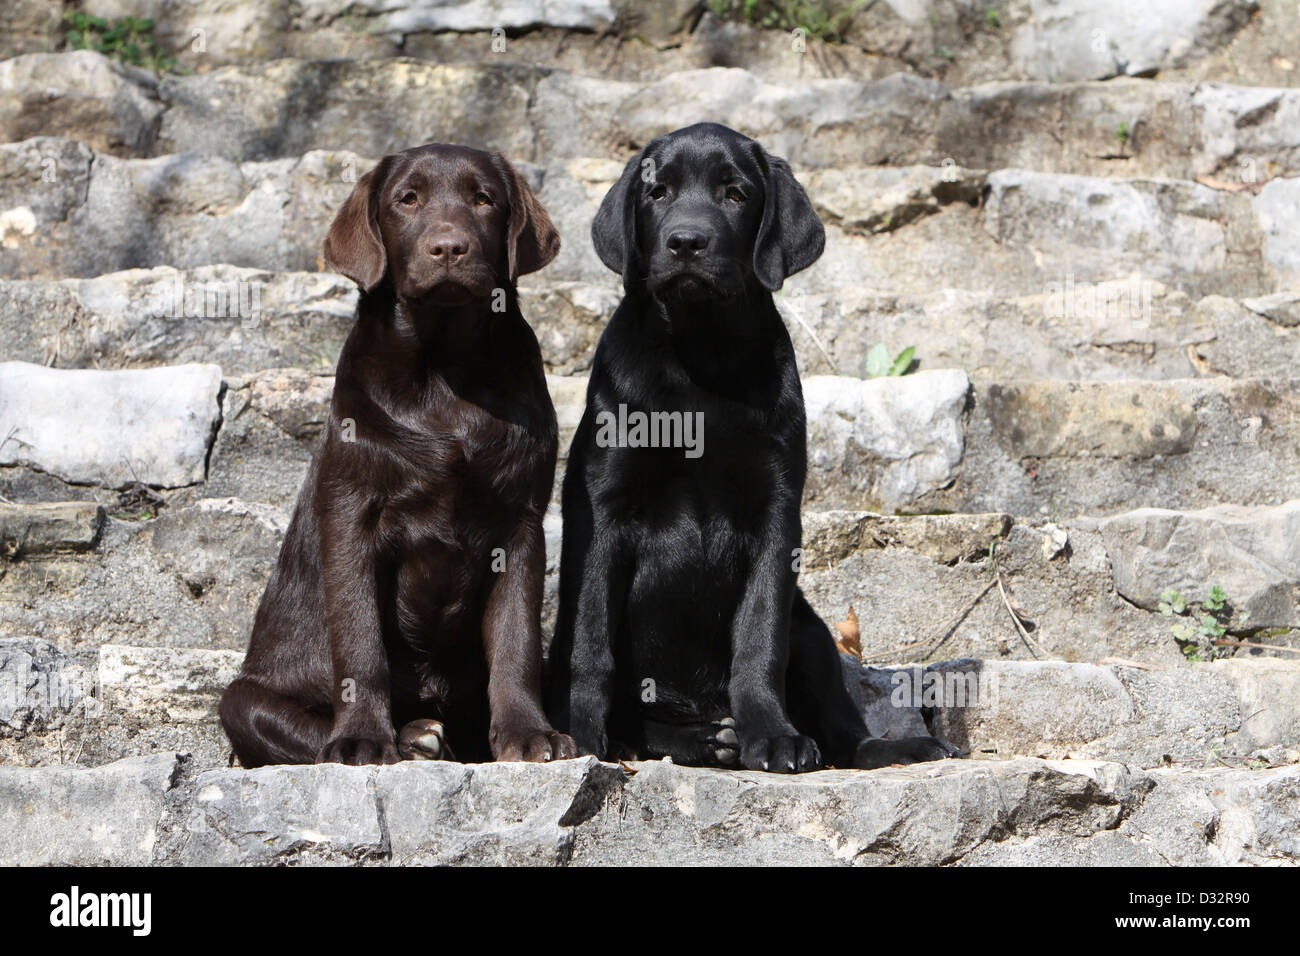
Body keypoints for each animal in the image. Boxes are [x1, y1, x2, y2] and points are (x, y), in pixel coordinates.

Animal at [220, 143, 577, 770]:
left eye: (484, 199)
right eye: (407, 200)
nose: (449, 248)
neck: (443, 371)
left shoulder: (521, 522)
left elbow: (517, 638)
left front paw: (528, 733)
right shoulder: (352, 515)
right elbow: (360, 640)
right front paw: (362, 740)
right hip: (241, 699)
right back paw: (411, 737)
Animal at [543, 123, 961, 775]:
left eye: (736, 194)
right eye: (657, 192)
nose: (686, 242)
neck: (702, 355)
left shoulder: (776, 511)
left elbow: (759, 636)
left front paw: (771, 734)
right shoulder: (603, 510)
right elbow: (591, 647)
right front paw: (582, 739)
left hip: (812, 629)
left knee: (842, 730)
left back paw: (885, 746)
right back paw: (697, 739)